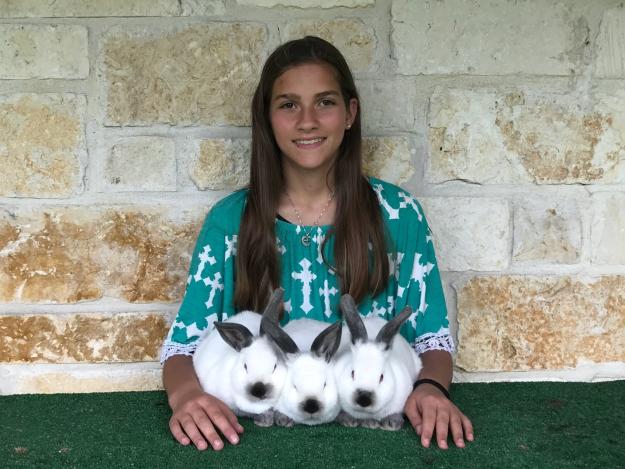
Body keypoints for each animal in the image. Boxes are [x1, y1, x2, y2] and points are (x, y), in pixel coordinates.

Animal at [333, 294, 422, 431]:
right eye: (352, 373)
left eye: (381, 377)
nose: (364, 399)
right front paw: (350, 420)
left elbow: (395, 412)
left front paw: (391, 423)